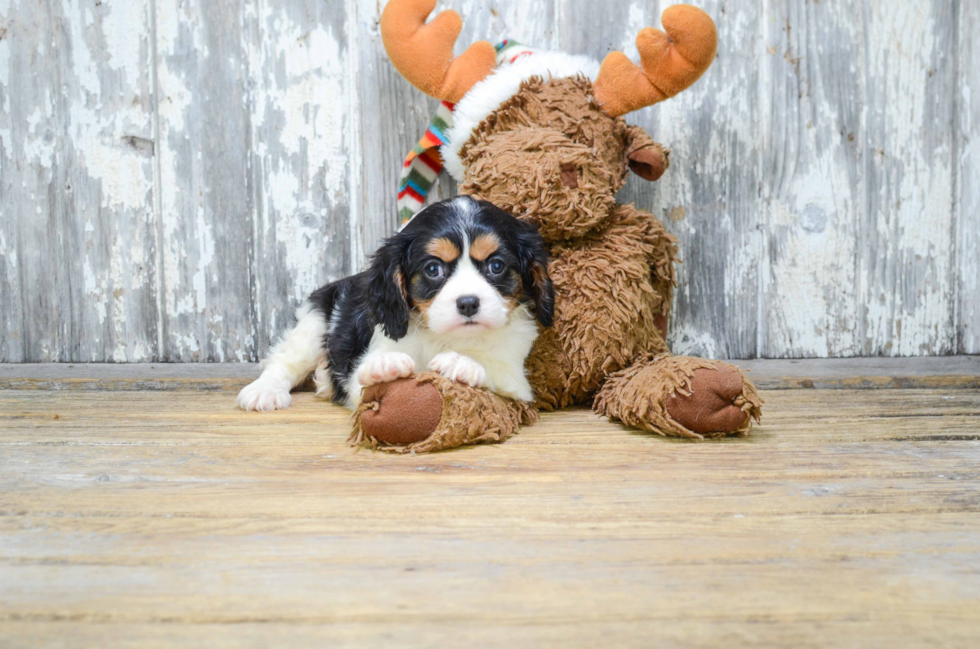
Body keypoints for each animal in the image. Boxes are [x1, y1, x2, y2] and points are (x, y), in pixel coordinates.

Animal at [236, 195, 552, 412]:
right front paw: (385, 365)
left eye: (496, 266)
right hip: (313, 324)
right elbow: (364, 378)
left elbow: (495, 371)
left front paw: (463, 363)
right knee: (283, 362)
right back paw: (265, 390)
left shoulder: (517, 382)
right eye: (433, 269)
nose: (468, 303)